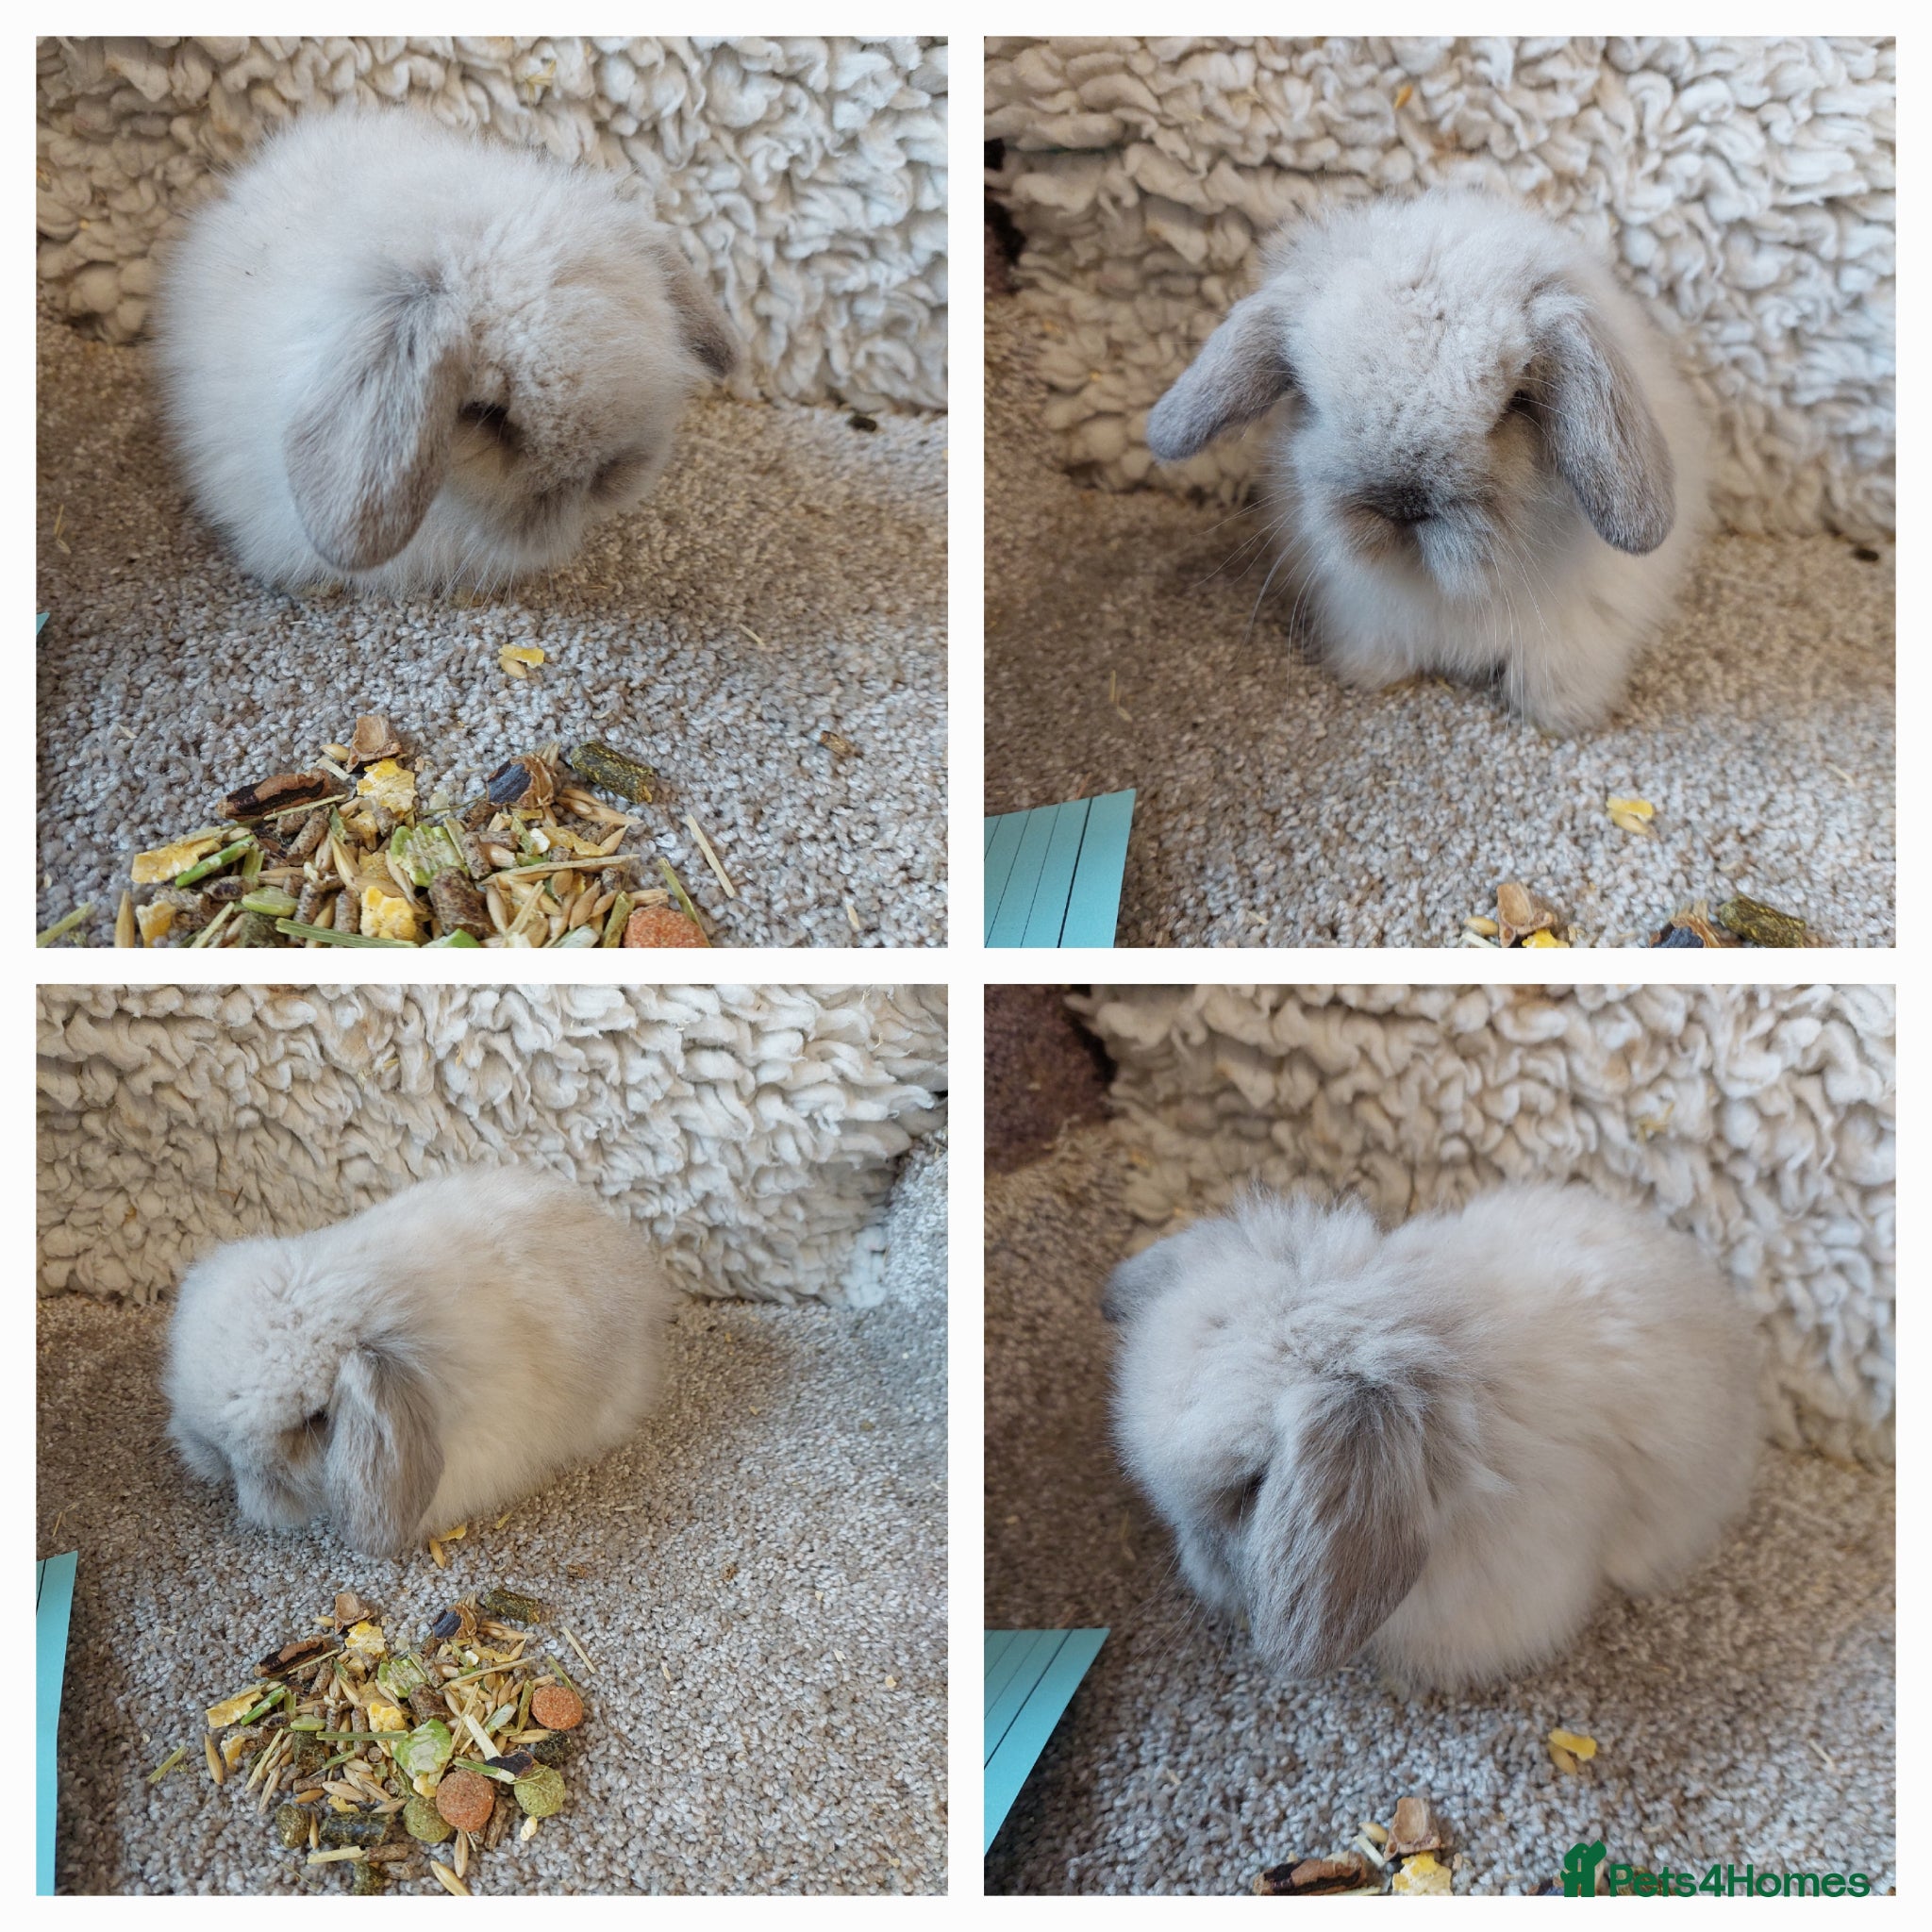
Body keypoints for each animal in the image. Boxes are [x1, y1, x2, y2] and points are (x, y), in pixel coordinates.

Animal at [1145, 190, 1709, 731]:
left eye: (1516, 404)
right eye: (1314, 397)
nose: (1400, 505)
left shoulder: (1579, 628)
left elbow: (1550, 674)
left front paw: (1564, 718)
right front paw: (1371, 674)